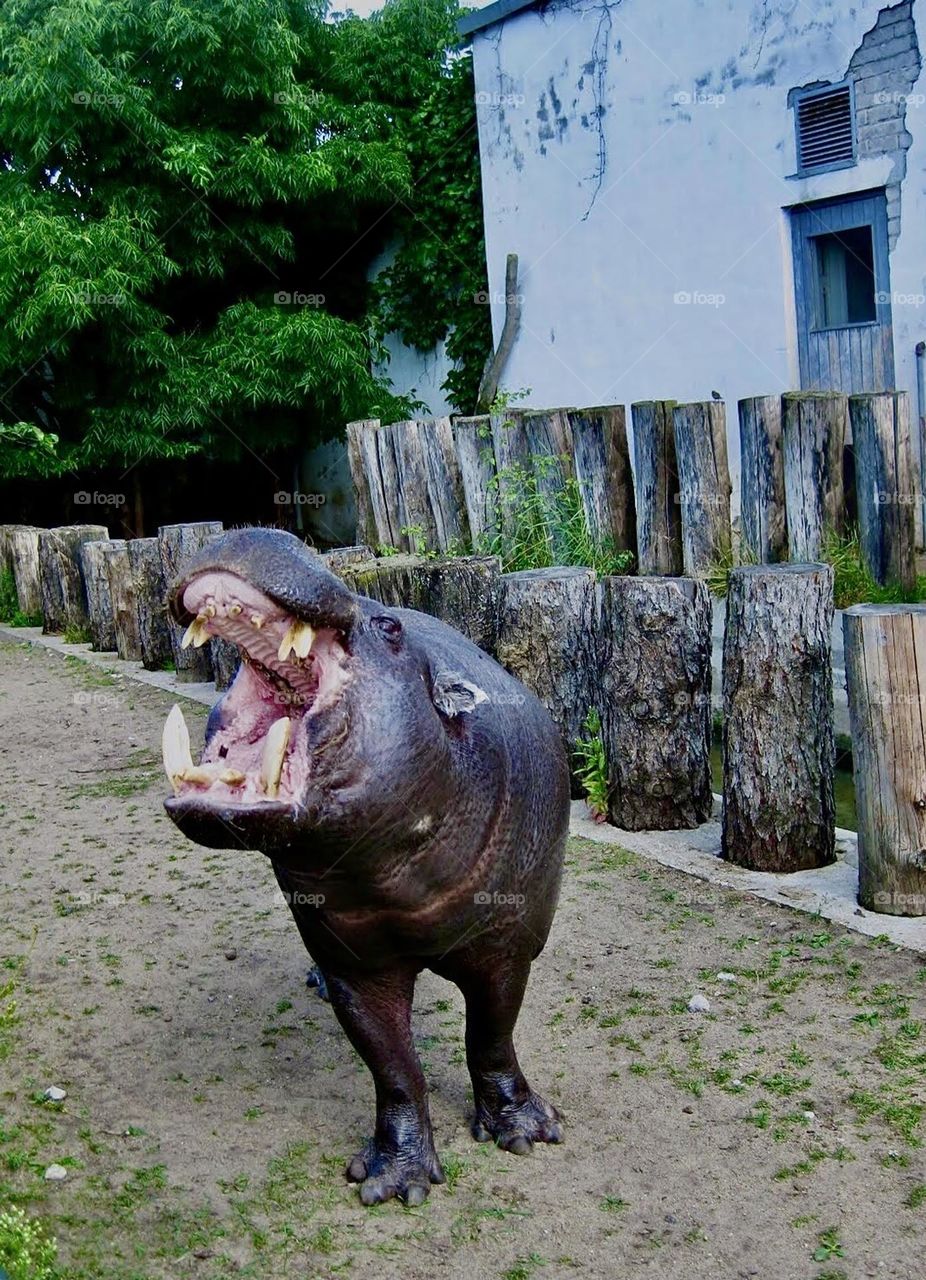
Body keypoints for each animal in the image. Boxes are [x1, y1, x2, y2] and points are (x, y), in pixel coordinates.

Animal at [162, 528, 569, 1205]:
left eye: (389, 626)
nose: (250, 530)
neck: (394, 879)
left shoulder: (506, 947)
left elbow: (491, 1036)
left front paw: (527, 1133)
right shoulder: (355, 962)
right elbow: (394, 1067)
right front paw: (395, 1181)